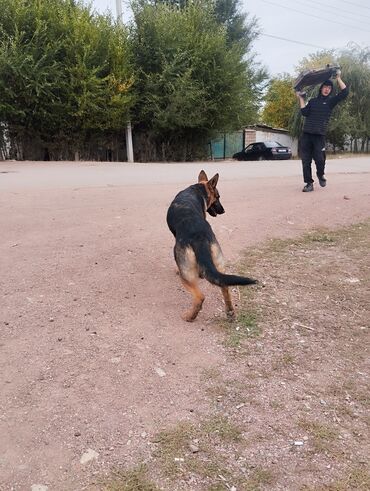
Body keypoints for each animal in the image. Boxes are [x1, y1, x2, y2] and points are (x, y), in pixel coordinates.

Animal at [166, 170, 256, 322]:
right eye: (218, 197)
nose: (223, 211)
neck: (197, 189)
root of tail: (199, 236)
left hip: (186, 275)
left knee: (200, 297)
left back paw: (189, 316)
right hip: (219, 264)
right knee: (224, 285)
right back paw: (230, 312)